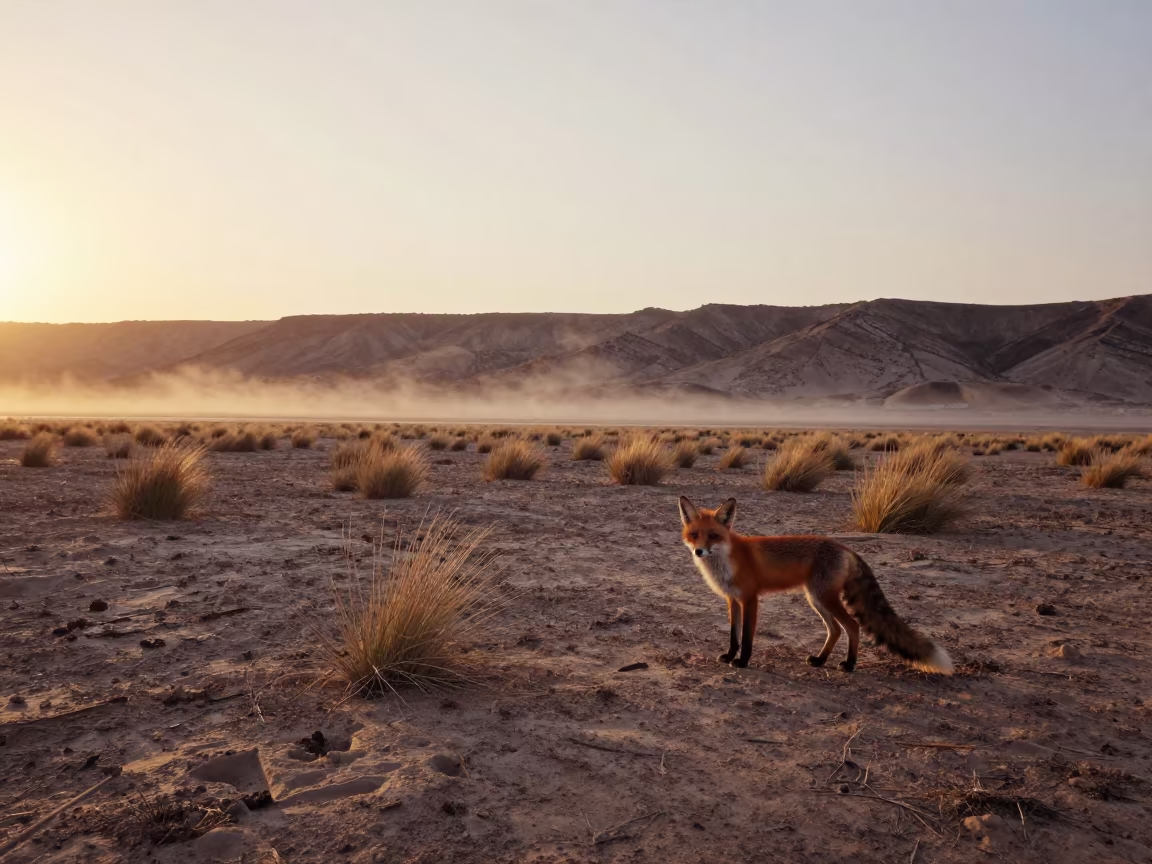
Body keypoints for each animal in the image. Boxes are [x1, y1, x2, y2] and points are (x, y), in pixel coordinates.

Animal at [678, 496, 952, 674]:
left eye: (713, 536)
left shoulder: (750, 599)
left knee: (852, 626)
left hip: (825, 598)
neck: (727, 560)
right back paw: (820, 660)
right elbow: (733, 636)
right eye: (694, 535)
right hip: (816, 599)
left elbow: (746, 638)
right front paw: (729, 656)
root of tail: (845, 547)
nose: (699, 551)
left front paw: (743, 662)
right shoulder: (732, 600)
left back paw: (850, 665)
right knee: (836, 630)